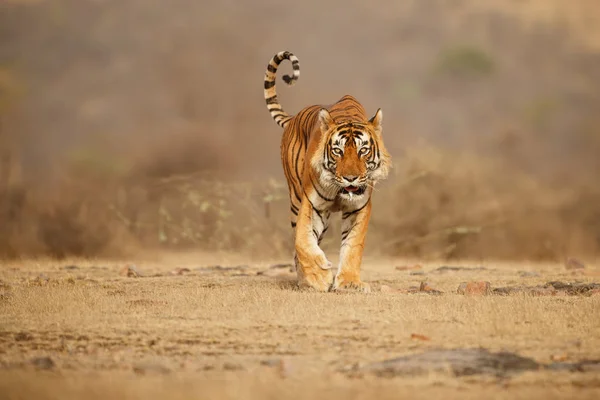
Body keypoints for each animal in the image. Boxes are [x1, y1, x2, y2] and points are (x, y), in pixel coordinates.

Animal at [264, 50, 392, 294]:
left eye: (363, 150)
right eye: (337, 151)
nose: (350, 178)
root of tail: (293, 118)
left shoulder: (359, 208)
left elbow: (353, 246)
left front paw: (350, 283)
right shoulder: (310, 204)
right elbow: (303, 241)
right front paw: (318, 277)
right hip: (296, 199)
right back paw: (304, 280)